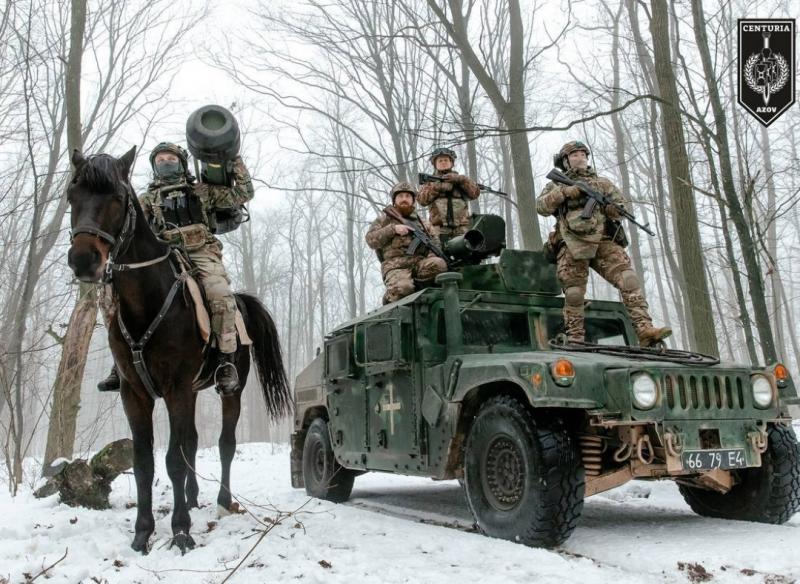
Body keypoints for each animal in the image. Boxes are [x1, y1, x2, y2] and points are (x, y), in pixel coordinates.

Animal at [66, 147, 291, 554]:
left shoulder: (177, 389)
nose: (83, 259)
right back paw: (192, 496)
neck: (146, 301)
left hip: (229, 388)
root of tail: (241, 300)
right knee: (193, 442)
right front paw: (142, 532)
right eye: (71, 196)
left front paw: (181, 530)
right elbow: (144, 461)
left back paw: (221, 501)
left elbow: (173, 458)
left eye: (117, 198)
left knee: (224, 444)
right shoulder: (134, 393)